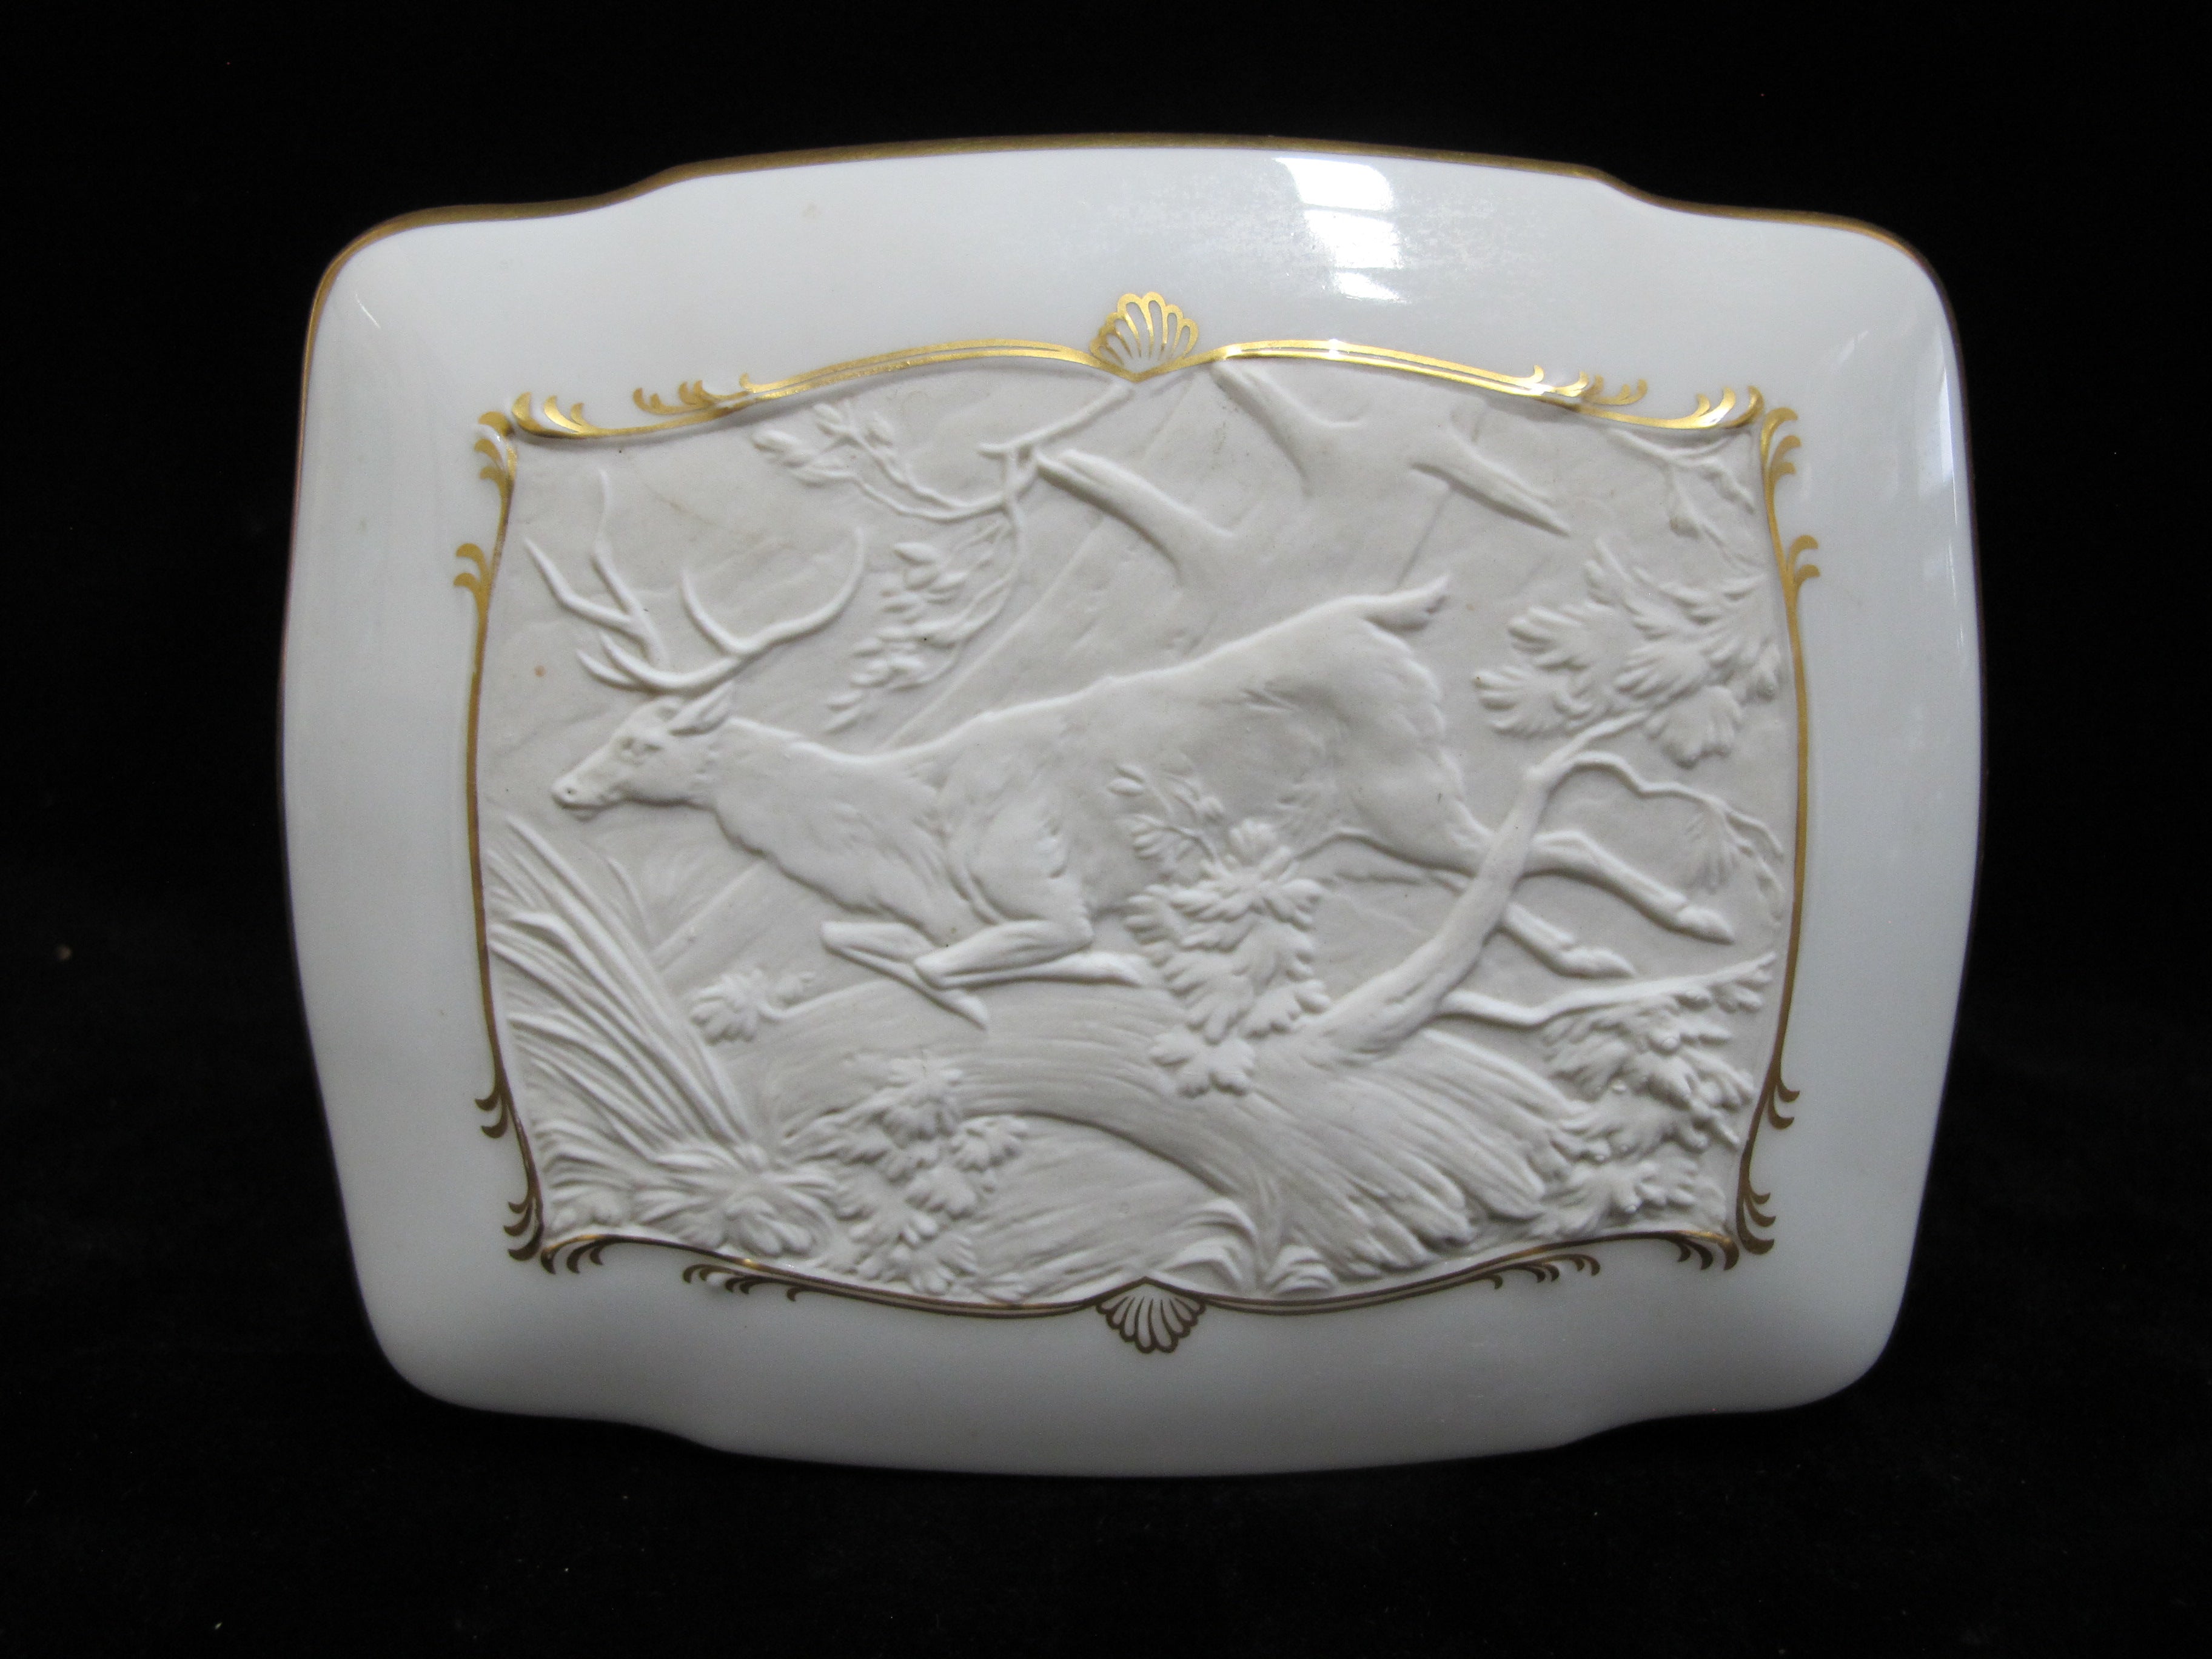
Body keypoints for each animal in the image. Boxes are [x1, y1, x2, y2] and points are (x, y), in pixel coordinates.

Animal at [528, 497, 1735, 1027]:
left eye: (641, 737)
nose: (568, 789)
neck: (910, 826)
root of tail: (1381, 618)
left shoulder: (1044, 890)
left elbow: (956, 966)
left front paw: (1095, 977)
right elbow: (860, 942)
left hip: (1403, 786)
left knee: (1550, 832)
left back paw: (1696, 925)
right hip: (1356, 827)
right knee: (1497, 869)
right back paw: (1593, 961)